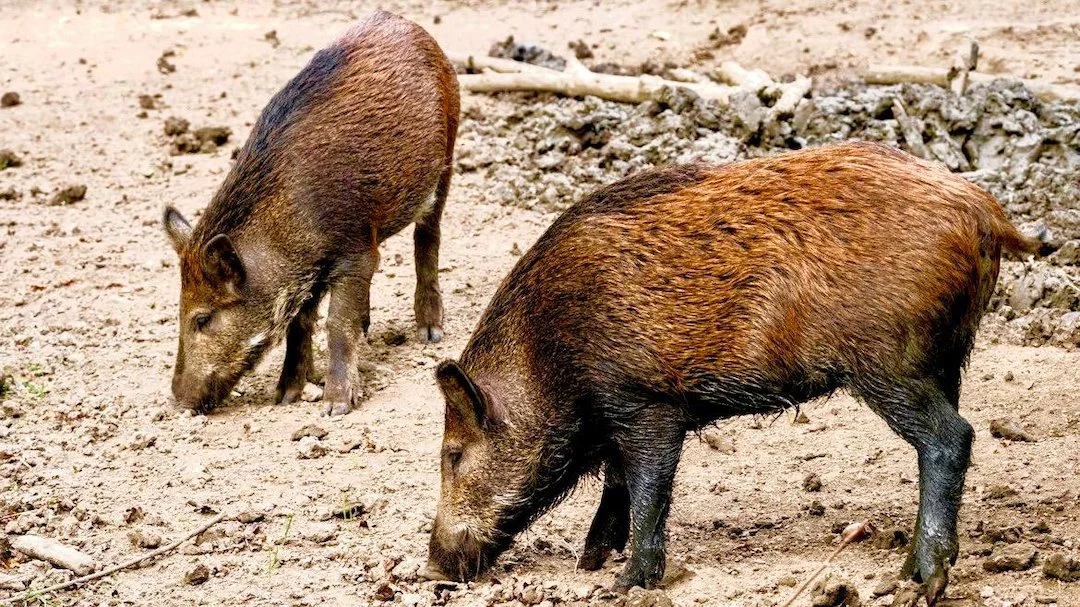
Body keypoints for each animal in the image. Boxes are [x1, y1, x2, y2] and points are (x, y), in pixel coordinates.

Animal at [163, 11, 459, 416]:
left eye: (203, 318)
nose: (179, 401)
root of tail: (404, 22)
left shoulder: (356, 250)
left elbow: (336, 322)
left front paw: (335, 407)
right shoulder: (310, 272)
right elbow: (299, 325)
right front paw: (285, 396)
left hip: (448, 154)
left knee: (428, 236)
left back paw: (430, 333)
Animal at [423, 142, 1041, 605]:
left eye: (453, 455)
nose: (433, 569)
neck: (550, 354)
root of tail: (984, 211)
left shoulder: (648, 405)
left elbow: (647, 489)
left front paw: (625, 583)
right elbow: (618, 483)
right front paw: (588, 561)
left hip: (889, 363)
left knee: (951, 437)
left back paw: (916, 580)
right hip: (947, 356)